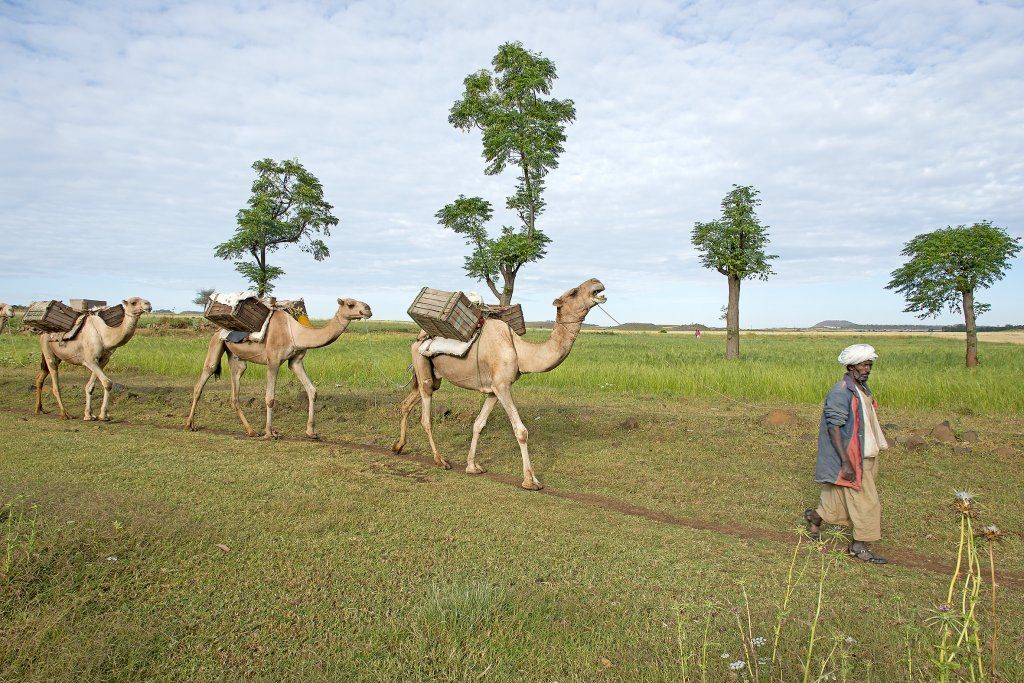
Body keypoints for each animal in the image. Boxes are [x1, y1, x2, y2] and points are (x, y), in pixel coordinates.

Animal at [184, 296, 372, 438]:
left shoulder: (295, 361)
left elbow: (312, 390)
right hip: (215, 344)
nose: (368, 308)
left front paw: (311, 432)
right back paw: (189, 425)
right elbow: (270, 397)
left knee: (235, 393)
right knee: (202, 380)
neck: (295, 333)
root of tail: (217, 330)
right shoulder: (273, 360)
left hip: (236, 358)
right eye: (350, 304)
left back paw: (251, 431)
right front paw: (269, 433)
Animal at [389, 278, 598, 491]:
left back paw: (398, 446)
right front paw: (530, 480)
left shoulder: (493, 390)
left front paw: (472, 466)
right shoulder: (503, 386)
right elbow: (521, 431)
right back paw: (440, 460)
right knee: (425, 415)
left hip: (434, 375)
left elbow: (478, 424)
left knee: (407, 403)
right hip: (421, 363)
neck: (519, 350)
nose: (597, 283)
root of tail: (418, 338)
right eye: (573, 292)